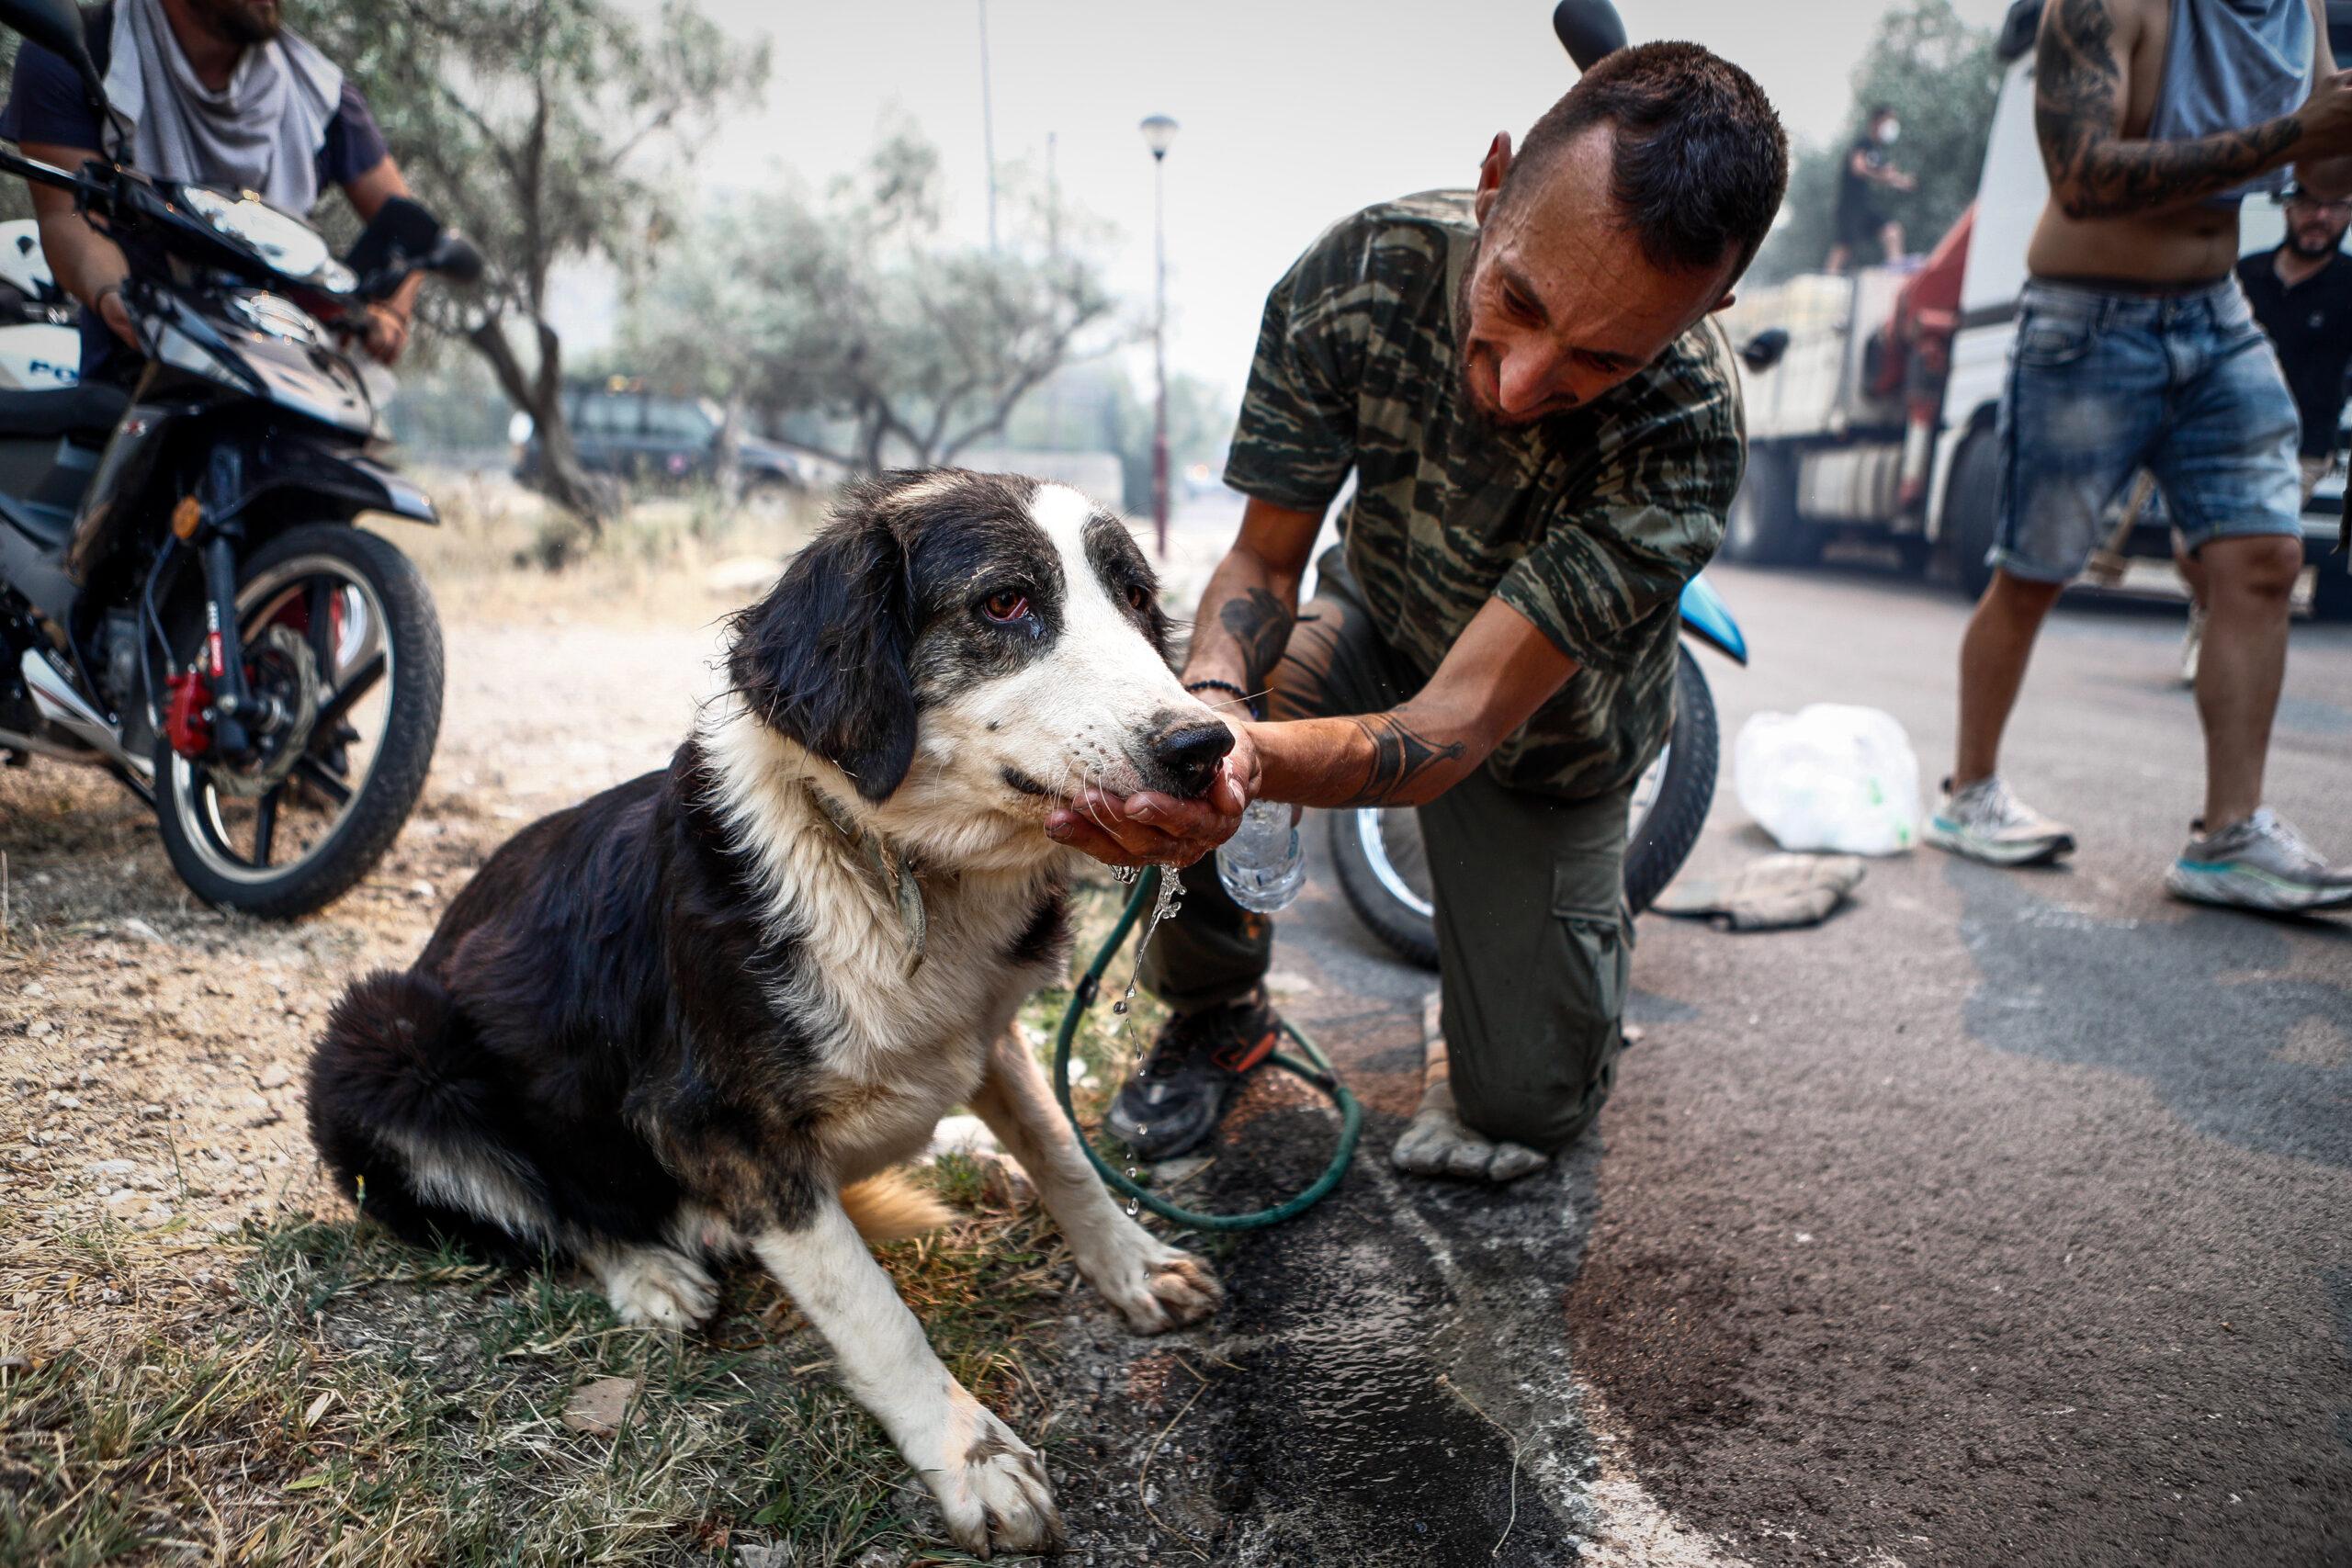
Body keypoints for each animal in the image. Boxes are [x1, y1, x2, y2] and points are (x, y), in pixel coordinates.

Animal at [305, 469, 1241, 1561]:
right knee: (552, 1204)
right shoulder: (711, 1126)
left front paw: (1132, 1262)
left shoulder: (989, 1029)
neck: (894, 867)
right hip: (384, 1040)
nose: (1204, 745)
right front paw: (970, 1457)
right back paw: (651, 1272)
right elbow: (874, 1309)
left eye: (1137, 601)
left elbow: (1062, 1151)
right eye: (1007, 603)